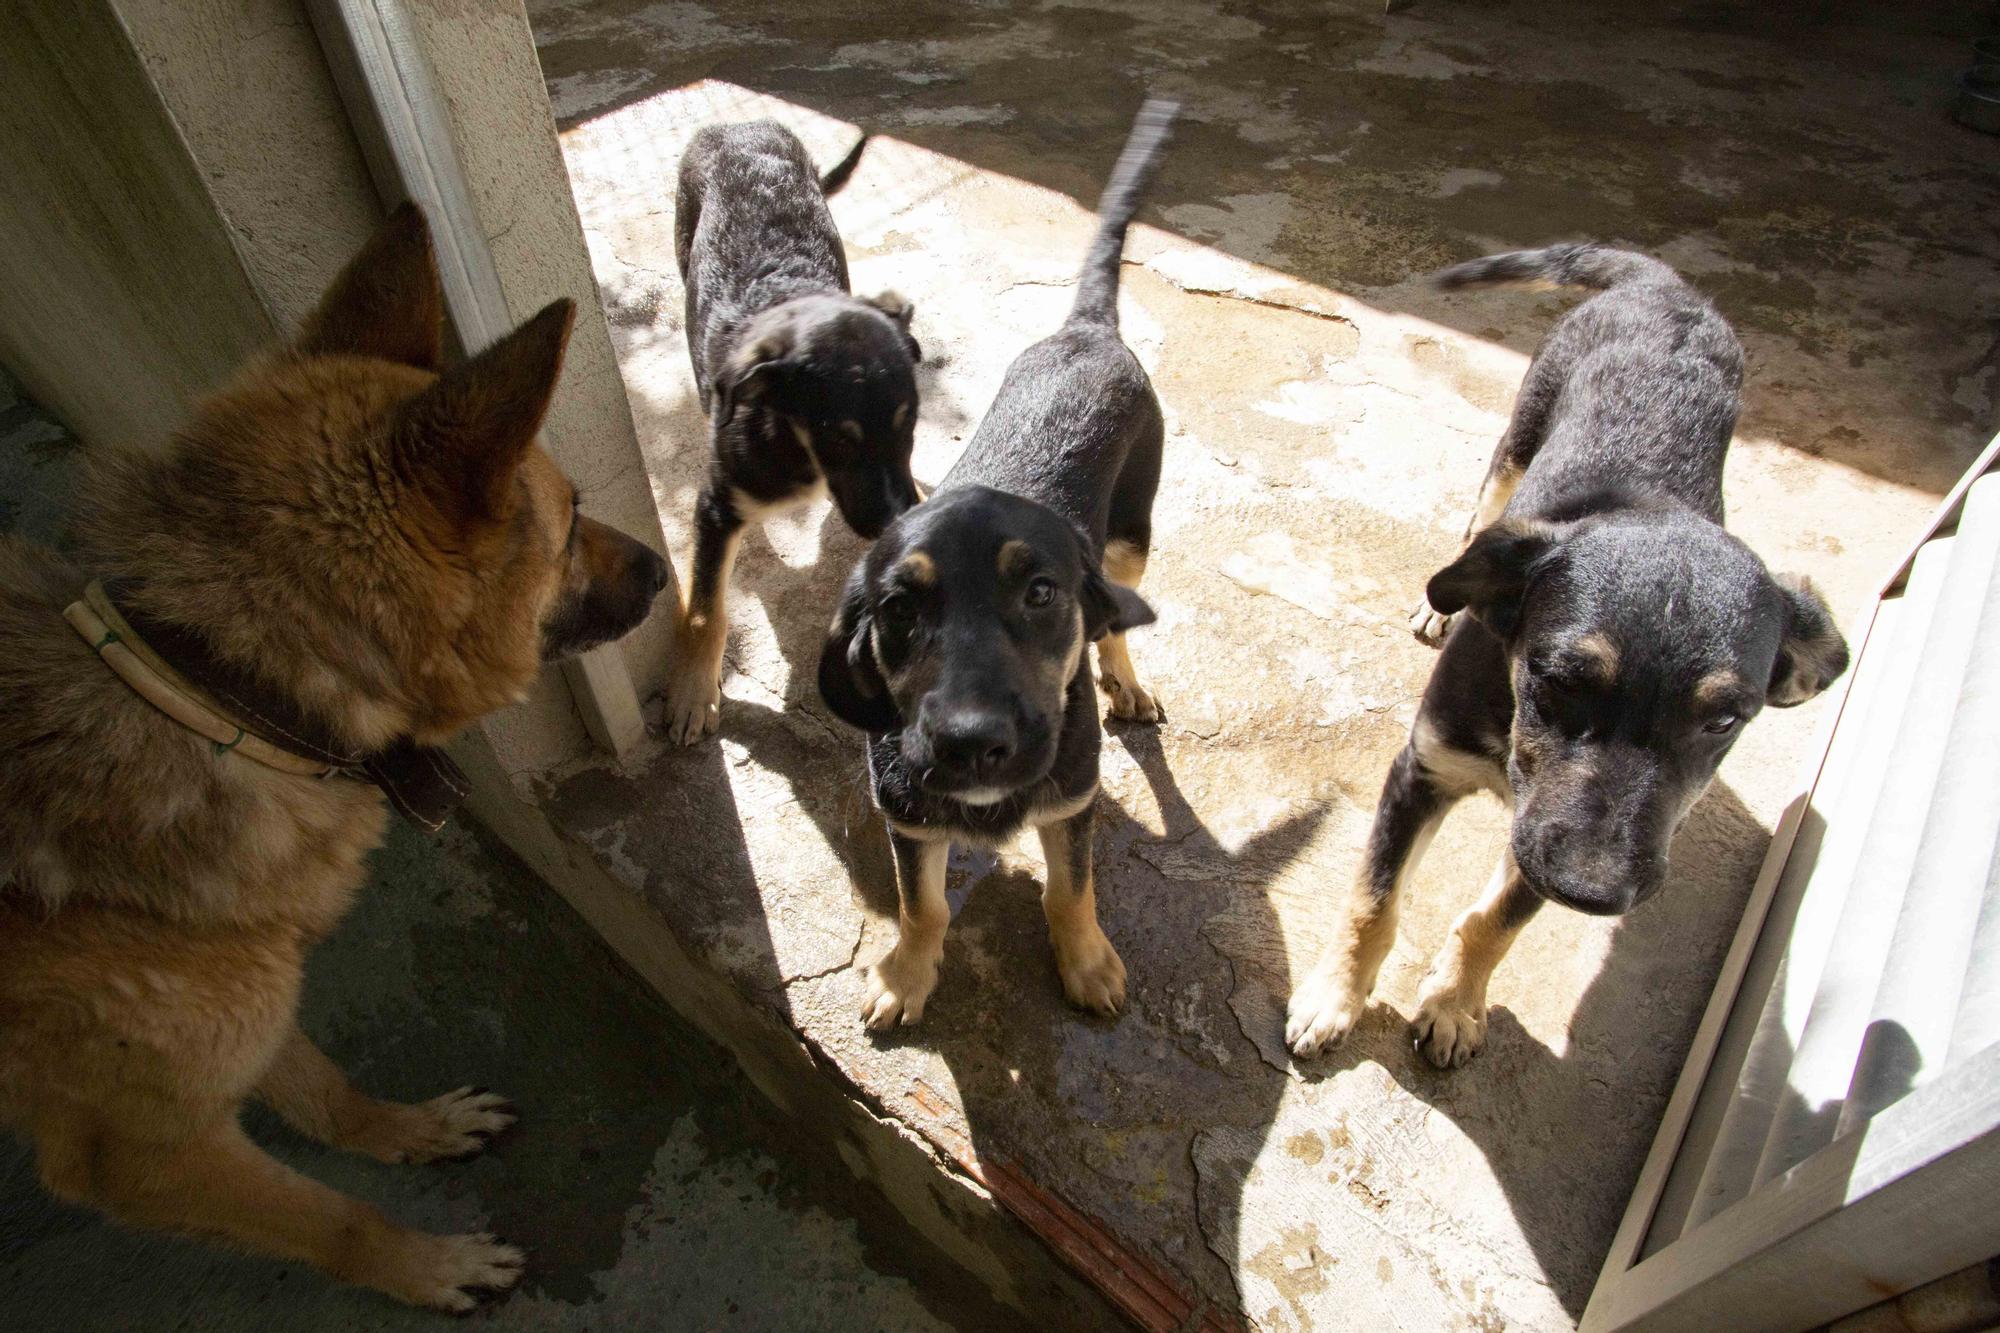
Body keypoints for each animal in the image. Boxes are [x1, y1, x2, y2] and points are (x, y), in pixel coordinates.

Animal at [0, 202, 672, 1304]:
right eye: (572, 517)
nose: (666, 567)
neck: (219, 685)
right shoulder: (142, 1149)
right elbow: (327, 1217)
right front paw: (425, 1266)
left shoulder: (242, 1008)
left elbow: (319, 1085)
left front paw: (407, 1128)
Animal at [664, 119, 928, 740]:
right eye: (838, 438)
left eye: (909, 423)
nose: (892, 519)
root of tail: (738, 124)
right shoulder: (715, 504)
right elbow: (705, 608)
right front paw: (691, 694)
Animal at [820, 98, 1176, 1024]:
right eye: (898, 612)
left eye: (1042, 593)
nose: (974, 745)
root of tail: (1085, 329)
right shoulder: (907, 814)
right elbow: (923, 903)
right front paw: (906, 974)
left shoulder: (1073, 799)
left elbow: (1071, 890)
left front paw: (1086, 961)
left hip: (1133, 532)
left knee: (1118, 613)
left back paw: (1125, 681)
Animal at [1288, 244, 1848, 1064]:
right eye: (1556, 677)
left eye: (1725, 722)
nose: (1592, 890)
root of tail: (1663, 285)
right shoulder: (1421, 769)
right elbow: (1374, 901)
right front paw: (1333, 998)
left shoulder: (1545, 837)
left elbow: (1494, 921)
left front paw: (1454, 1004)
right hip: (1524, 430)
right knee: (1488, 505)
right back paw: (1440, 602)